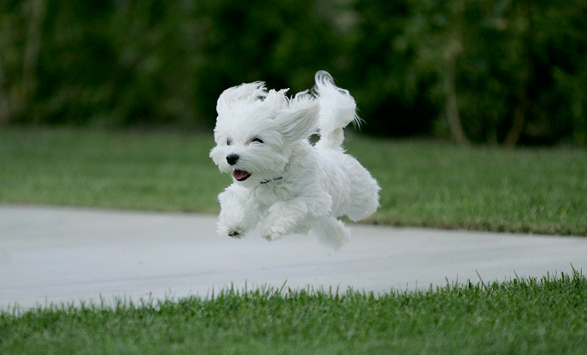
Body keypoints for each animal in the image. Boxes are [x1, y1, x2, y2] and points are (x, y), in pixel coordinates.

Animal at [211, 71, 382, 250]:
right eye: (228, 141)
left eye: (257, 140)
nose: (231, 157)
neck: (273, 177)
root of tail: (330, 148)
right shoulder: (245, 191)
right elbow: (237, 201)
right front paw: (233, 225)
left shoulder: (315, 199)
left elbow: (290, 207)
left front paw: (270, 228)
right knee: (326, 224)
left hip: (360, 198)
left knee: (365, 205)